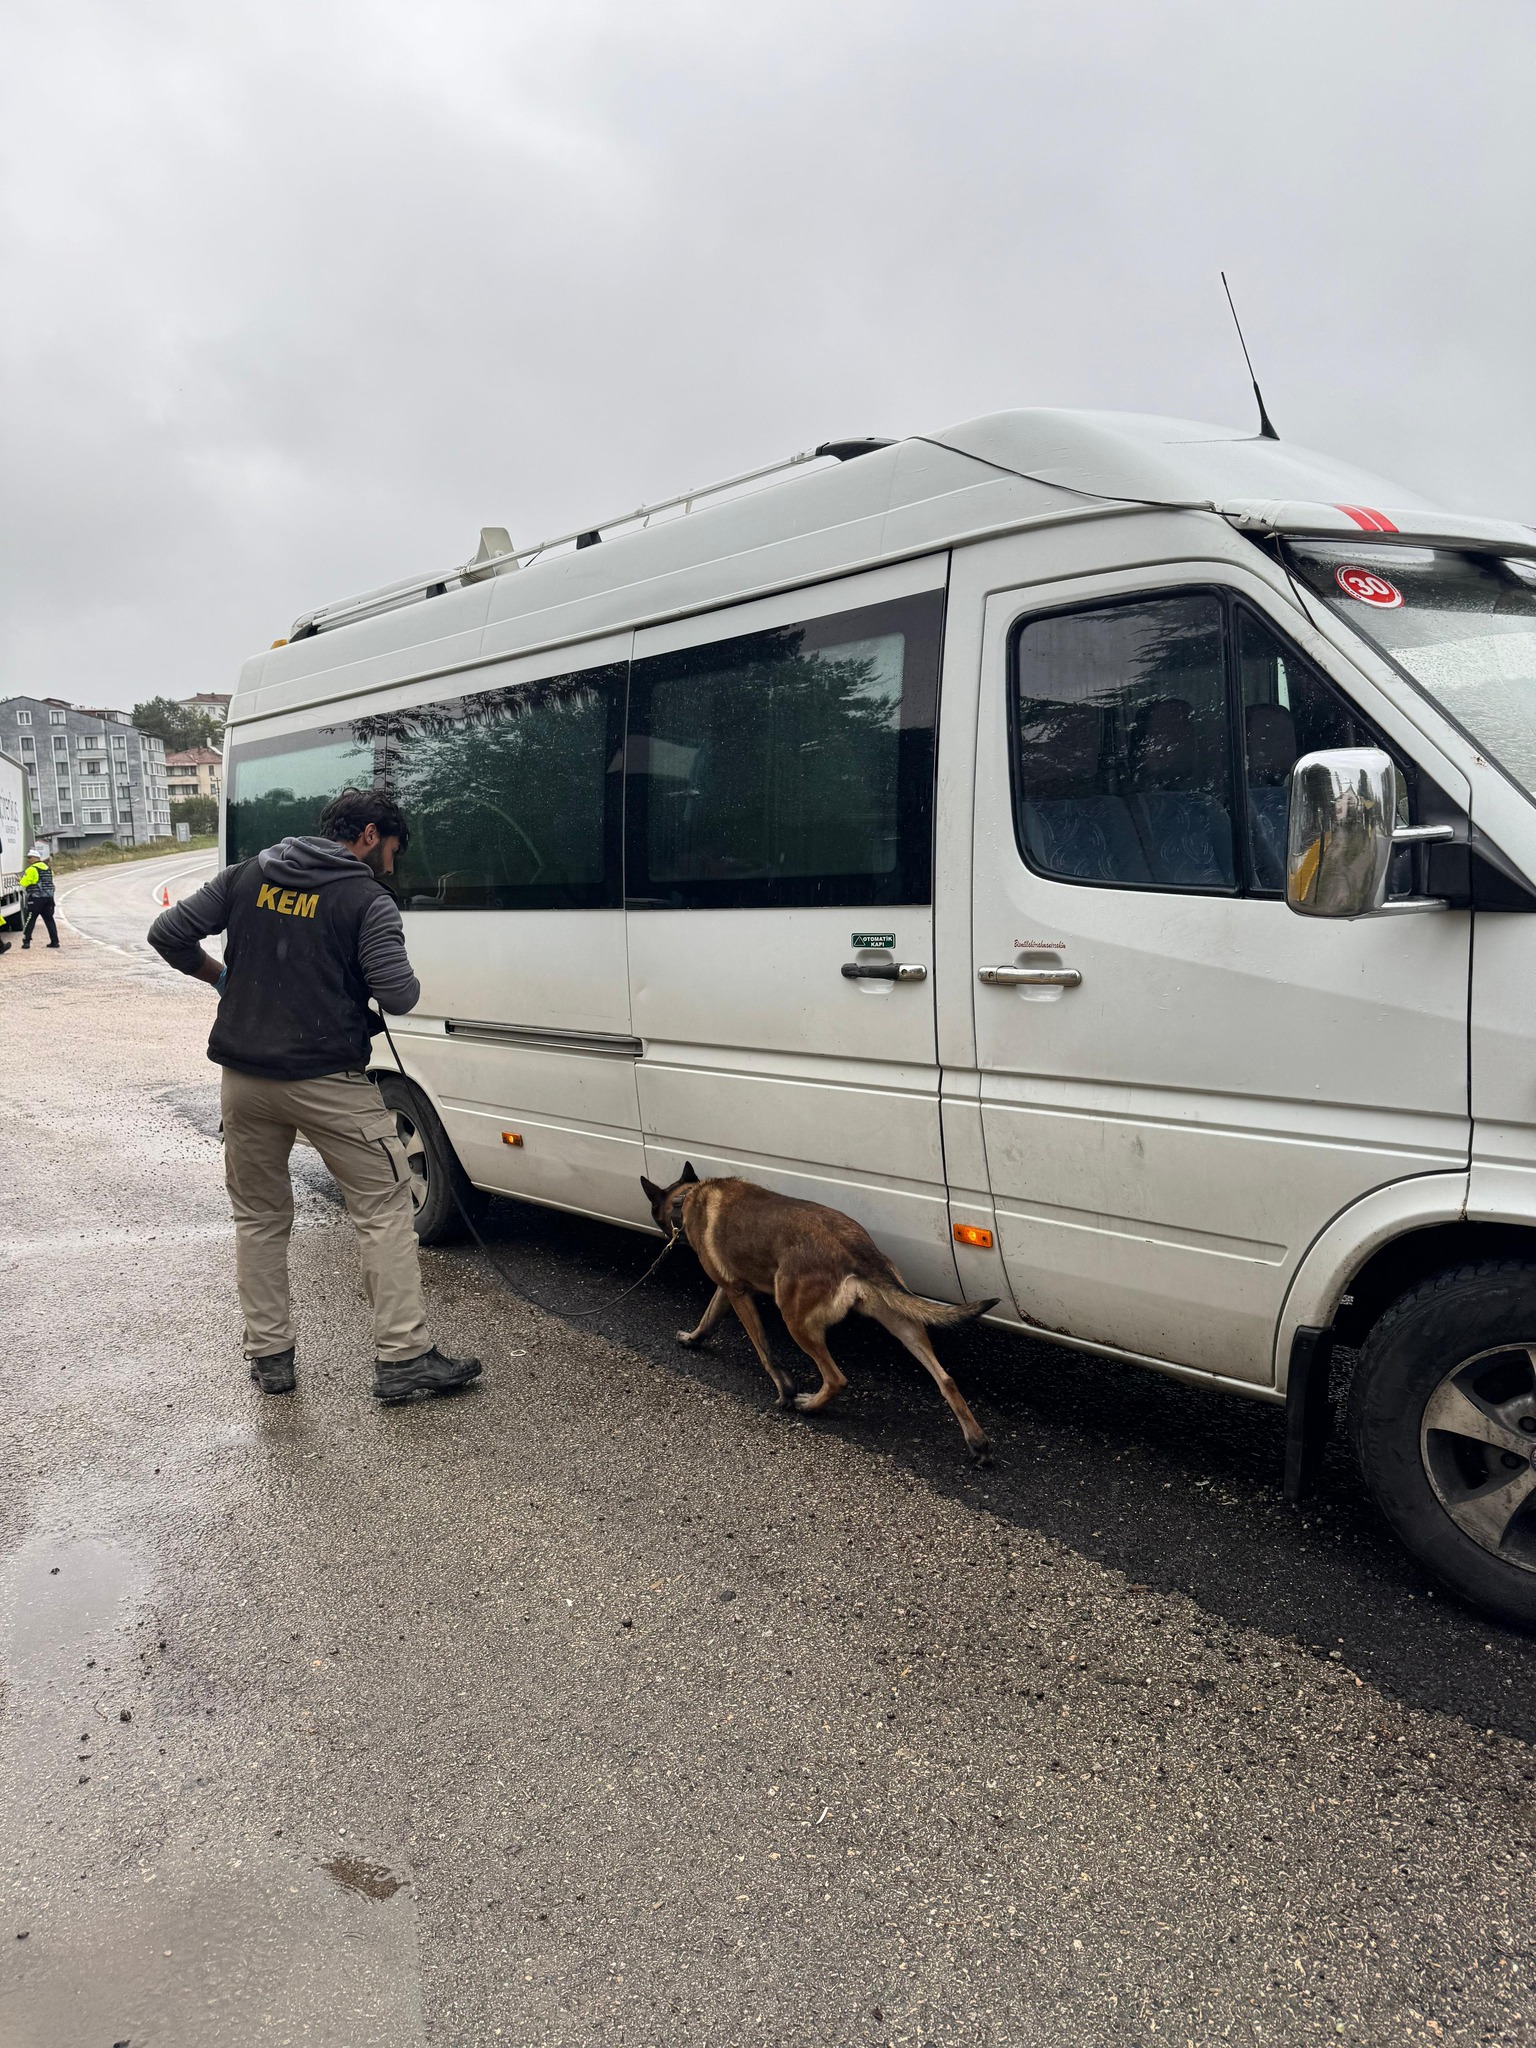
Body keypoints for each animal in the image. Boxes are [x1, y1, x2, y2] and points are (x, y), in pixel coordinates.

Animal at [638, 1171, 999, 1458]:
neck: (688, 1196)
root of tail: (857, 1250)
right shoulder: (728, 1290)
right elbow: (708, 1317)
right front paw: (693, 1338)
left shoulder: (737, 1293)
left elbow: (764, 1351)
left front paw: (785, 1390)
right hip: (900, 1322)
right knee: (946, 1379)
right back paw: (977, 1442)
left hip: (795, 1319)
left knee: (836, 1378)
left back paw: (809, 1406)